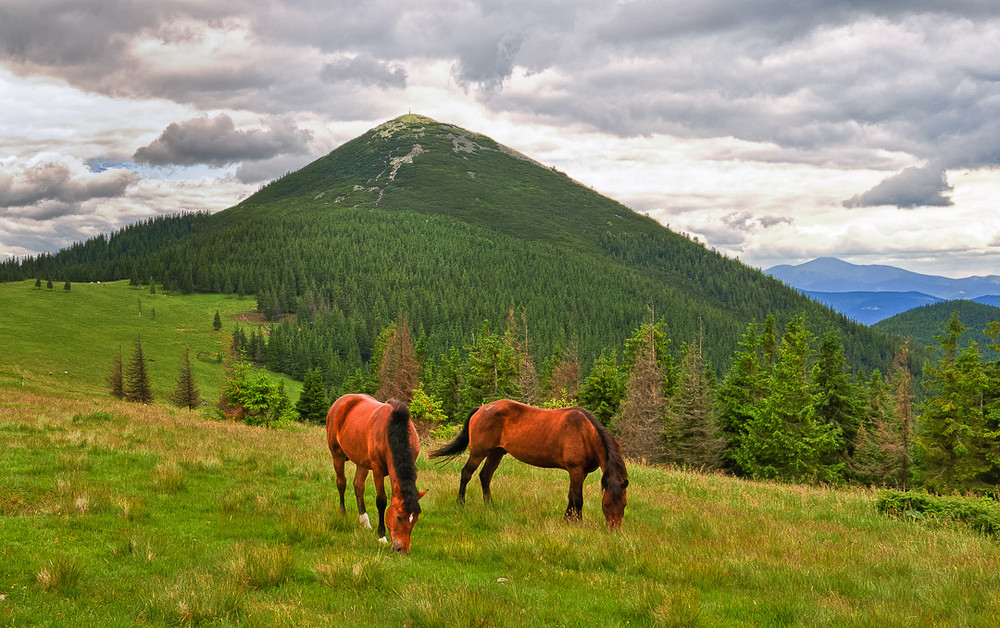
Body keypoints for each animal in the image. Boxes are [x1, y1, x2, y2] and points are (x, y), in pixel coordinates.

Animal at [324, 394, 426, 552]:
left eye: (415, 519)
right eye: (399, 517)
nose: (402, 550)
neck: (393, 430)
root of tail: (340, 401)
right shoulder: (377, 469)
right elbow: (381, 501)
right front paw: (381, 537)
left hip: (361, 462)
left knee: (358, 486)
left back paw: (364, 521)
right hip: (337, 455)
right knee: (341, 483)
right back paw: (343, 513)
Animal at [428, 400, 628, 528]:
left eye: (624, 504)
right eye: (606, 504)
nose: (614, 529)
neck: (585, 433)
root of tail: (481, 408)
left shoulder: (580, 472)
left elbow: (571, 496)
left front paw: (567, 520)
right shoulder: (576, 470)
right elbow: (577, 499)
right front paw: (577, 523)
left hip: (496, 453)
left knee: (485, 476)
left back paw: (489, 505)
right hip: (479, 452)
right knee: (466, 473)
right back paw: (460, 503)